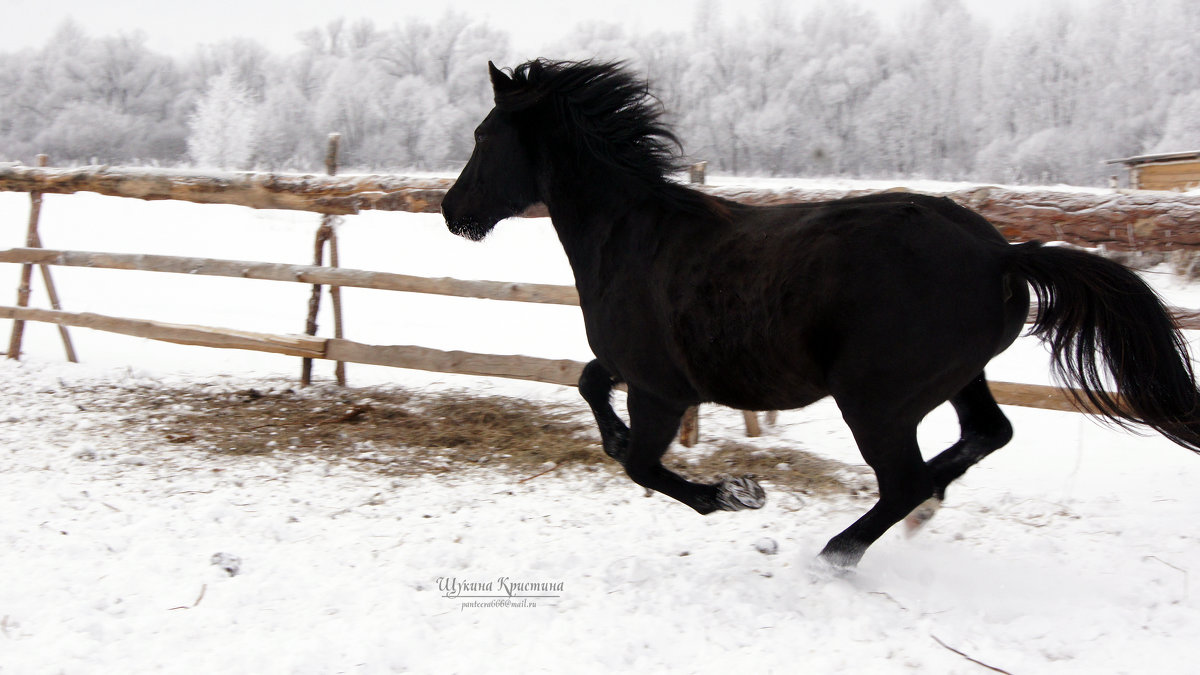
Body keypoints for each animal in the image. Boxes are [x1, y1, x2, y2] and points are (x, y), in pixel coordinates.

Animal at [441, 59, 1200, 566]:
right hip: (957, 376)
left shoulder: (661, 387)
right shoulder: (636, 369)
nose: (453, 211)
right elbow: (589, 383)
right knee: (985, 435)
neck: (631, 235)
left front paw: (737, 493)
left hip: (877, 399)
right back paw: (924, 511)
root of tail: (1000, 255)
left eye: (483, 135)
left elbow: (645, 467)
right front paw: (618, 440)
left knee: (904, 479)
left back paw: (835, 554)